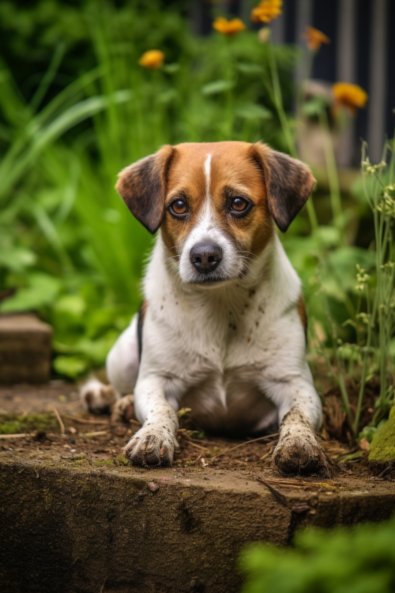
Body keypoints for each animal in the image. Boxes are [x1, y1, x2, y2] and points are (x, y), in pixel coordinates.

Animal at [79, 141, 324, 474]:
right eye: (179, 205)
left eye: (238, 203)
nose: (205, 255)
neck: (221, 305)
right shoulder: (157, 379)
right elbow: (162, 411)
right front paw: (152, 436)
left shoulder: (295, 383)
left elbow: (296, 415)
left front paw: (299, 443)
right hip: (123, 353)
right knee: (122, 386)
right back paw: (111, 399)